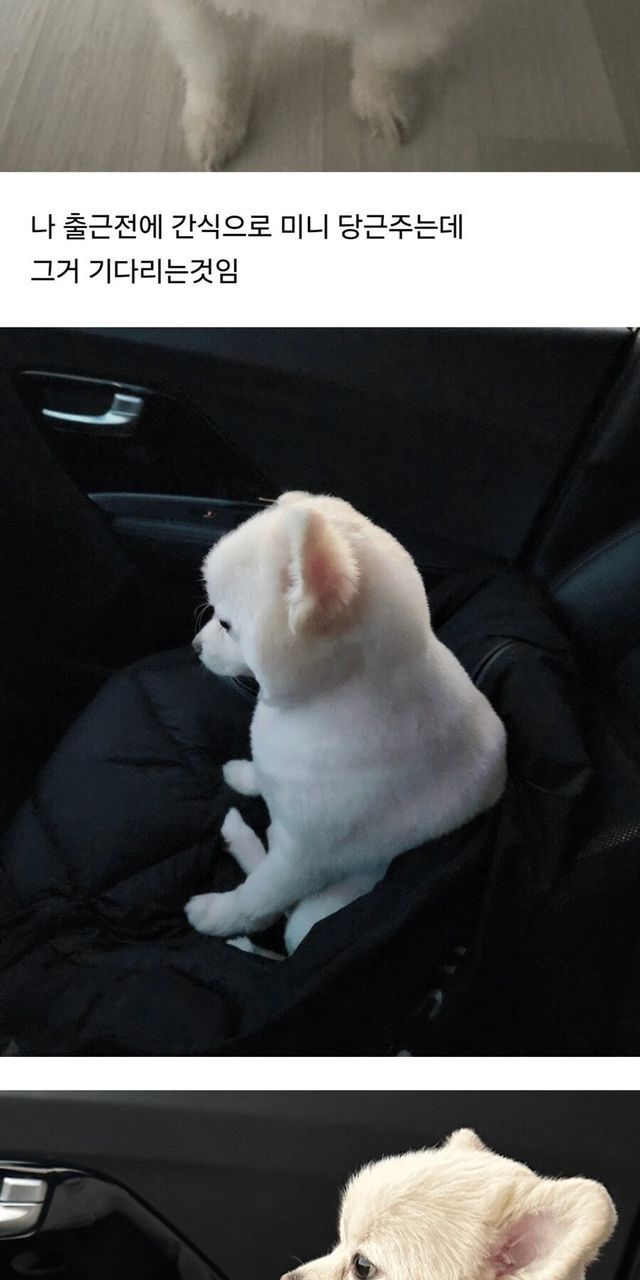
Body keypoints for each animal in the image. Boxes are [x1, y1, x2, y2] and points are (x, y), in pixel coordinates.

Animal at [146, 0, 477, 167]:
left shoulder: (423, 13)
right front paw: (215, 127)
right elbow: (216, 64)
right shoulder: (193, 11)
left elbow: (387, 54)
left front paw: (381, 101)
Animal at [186, 492, 506, 952]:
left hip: (315, 915)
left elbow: (259, 897)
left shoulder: (303, 860)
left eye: (226, 624)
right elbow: (265, 776)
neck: (319, 706)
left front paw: (219, 916)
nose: (194, 645)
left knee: (287, 918)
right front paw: (247, 775)